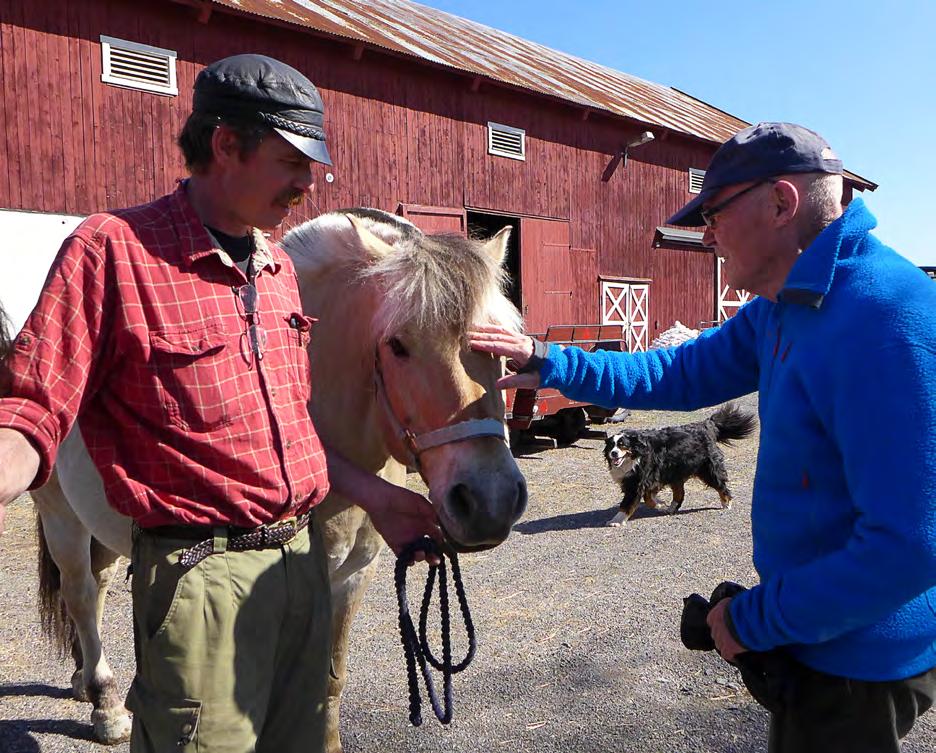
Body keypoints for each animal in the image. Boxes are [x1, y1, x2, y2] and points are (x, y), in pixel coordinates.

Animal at [31, 209, 528, 748]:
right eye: (398, 345)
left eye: (500, 348)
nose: (490, 503)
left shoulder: (354, 575)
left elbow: (329, 683)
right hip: (60, 516)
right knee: (80, 592)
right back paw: (104, 705)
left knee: (97, 586)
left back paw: (83, 680)